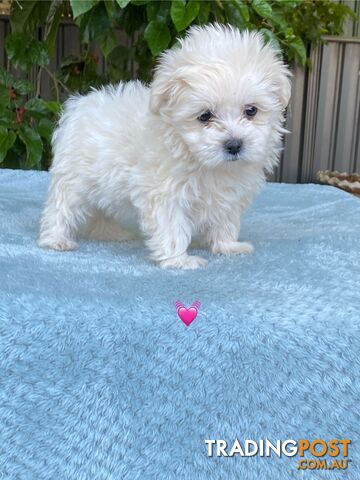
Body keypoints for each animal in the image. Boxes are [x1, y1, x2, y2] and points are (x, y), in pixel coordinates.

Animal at [39, 24, 292, 268]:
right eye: (204, 116)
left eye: (251, 110)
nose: (234, 144)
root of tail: (79, 105)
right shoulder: (165, 193)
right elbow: (172, 226)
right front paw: (179, 260)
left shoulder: (229, 195)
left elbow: (226, 219)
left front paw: (228, 246)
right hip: (74, 179)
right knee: (61, 208)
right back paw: (56, 239)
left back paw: (110, 233)